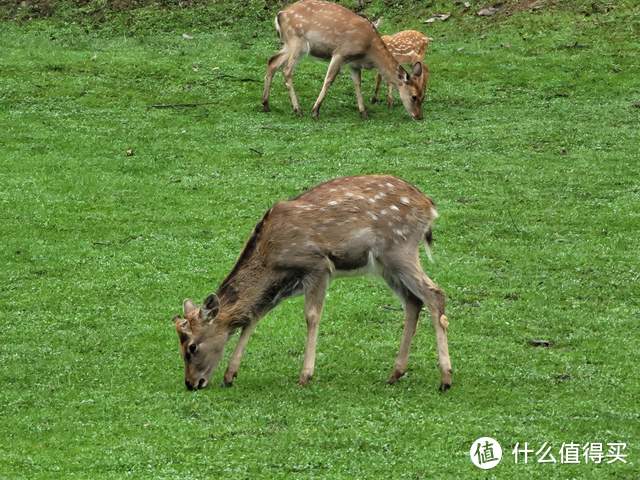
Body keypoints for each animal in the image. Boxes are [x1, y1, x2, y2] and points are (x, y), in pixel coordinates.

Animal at [175, 174, 452, 392]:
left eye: (192, 347)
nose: (191, 383)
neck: (269, 257)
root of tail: (429, 207)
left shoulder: (317, 266)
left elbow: (311, 316)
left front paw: (305, 375)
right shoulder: (284, 284)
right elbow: (253, 317)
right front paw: (230, 375)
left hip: (399, 249)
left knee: (434, 294)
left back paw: (445, 379)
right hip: (386, 265)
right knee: (413, 301)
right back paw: (396, 373)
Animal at [262, 0, 428, 119]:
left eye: (423, 96)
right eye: (414, 96)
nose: (419, 116)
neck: (369, 51)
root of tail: (280, 14)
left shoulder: (354, 64)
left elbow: (357, 84)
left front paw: (363, 112)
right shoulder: (340, 53)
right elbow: (329, 80)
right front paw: (315, 111)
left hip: (289, 44)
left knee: (272, 61)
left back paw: (265, 104)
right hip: (298, 42)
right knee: (286, 70)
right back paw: (297, 109)